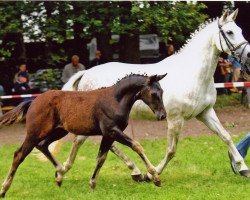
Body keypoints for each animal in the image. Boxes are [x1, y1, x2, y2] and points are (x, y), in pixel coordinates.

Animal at [0, 74, 168, 197]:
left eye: (162, 92)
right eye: (153, 94)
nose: (162, 115)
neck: (115, 99)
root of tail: (33, 101)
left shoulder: (108, 135)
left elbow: (101, 158)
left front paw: (92, 185)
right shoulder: (112, 130)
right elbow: (137, 146)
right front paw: (155, 177)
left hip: (59, 131)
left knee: (42, 146)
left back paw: (60, 175)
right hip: (35, 133)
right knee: (19, 154)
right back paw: (4, 189)